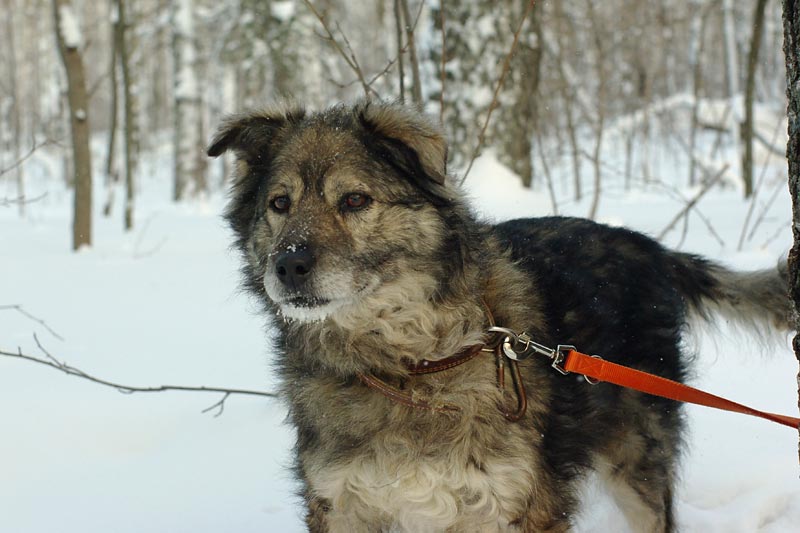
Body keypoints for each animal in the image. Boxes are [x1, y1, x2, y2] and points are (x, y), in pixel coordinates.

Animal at [207, 101, 791, 533]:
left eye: (354, 200)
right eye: (279, 204)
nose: (288, 265)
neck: (411, 368)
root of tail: (648, 246)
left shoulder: (519, 504)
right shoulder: (341, 504)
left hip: (638, 462)